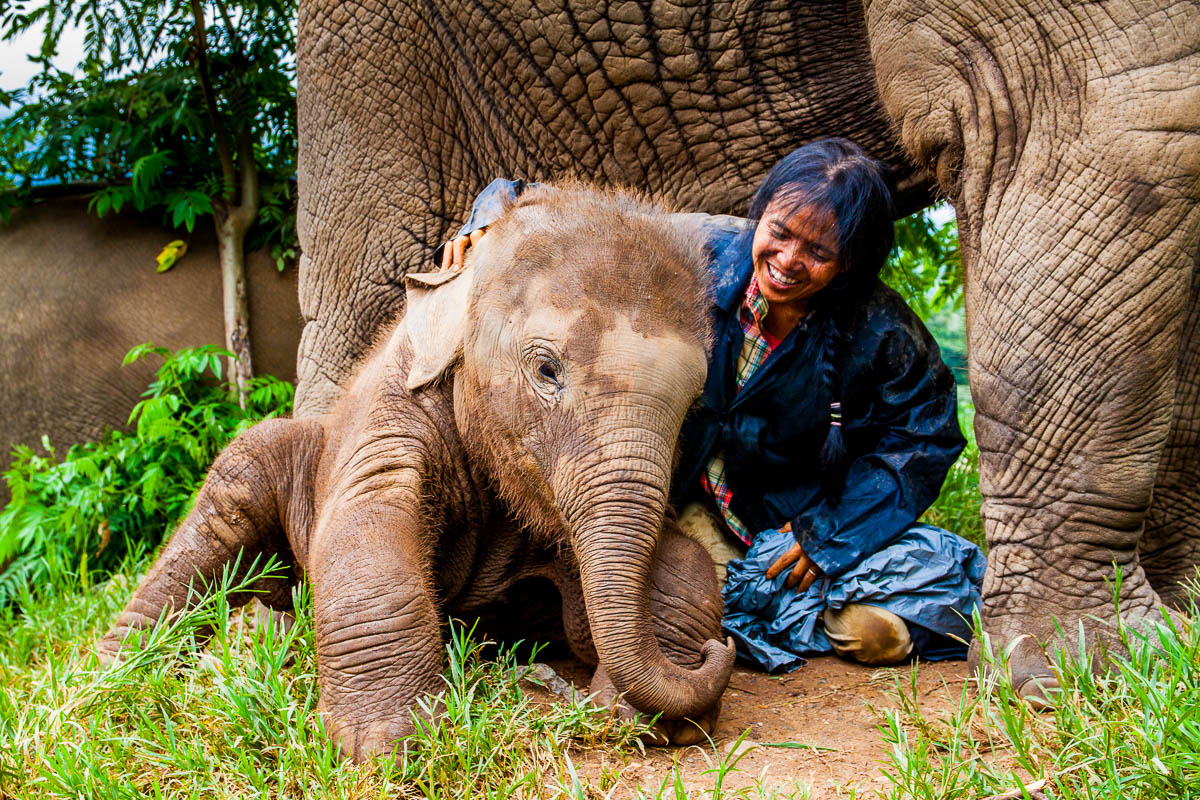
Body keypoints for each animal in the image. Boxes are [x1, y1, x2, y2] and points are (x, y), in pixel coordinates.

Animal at [98, 184, 737, 761]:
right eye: (547, 371)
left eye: (694, 409)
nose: (721, 649)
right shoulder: (395, 410)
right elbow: (369, 521)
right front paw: (389, 746)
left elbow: (682, 560)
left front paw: (650, 723)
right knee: (230, 500)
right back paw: (111, 677)